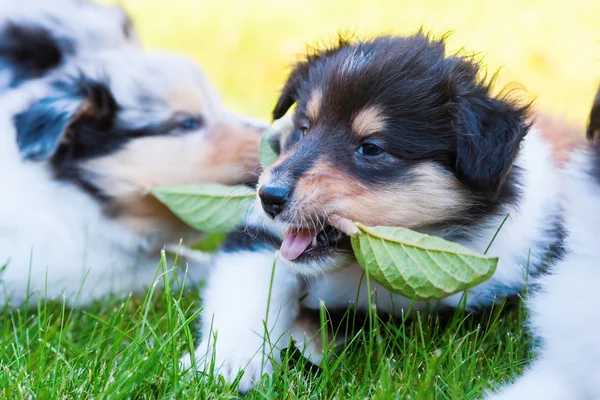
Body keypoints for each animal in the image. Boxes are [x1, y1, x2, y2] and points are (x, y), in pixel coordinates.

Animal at [182, 32, 568, 392]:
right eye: (303, 129)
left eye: (370, 148)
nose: (269, 197)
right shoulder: (259, 237)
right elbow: (251, 290)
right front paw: (225, 364)